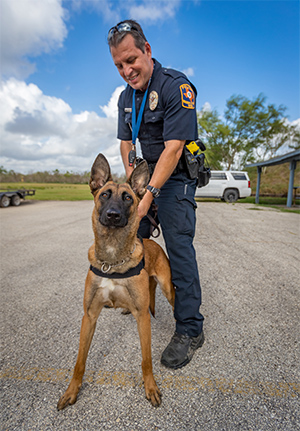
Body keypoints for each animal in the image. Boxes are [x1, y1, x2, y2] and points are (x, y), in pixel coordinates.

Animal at [57, 154, 175, 410]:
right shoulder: (89, 316)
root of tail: (154, 243)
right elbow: (80, 360)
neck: (112, 260)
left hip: (167, 288)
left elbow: (146, 359)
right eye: (104, 194)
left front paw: (151, 387)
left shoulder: (143, 318)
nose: (112, 214)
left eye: (128, 197)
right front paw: (72, 391)